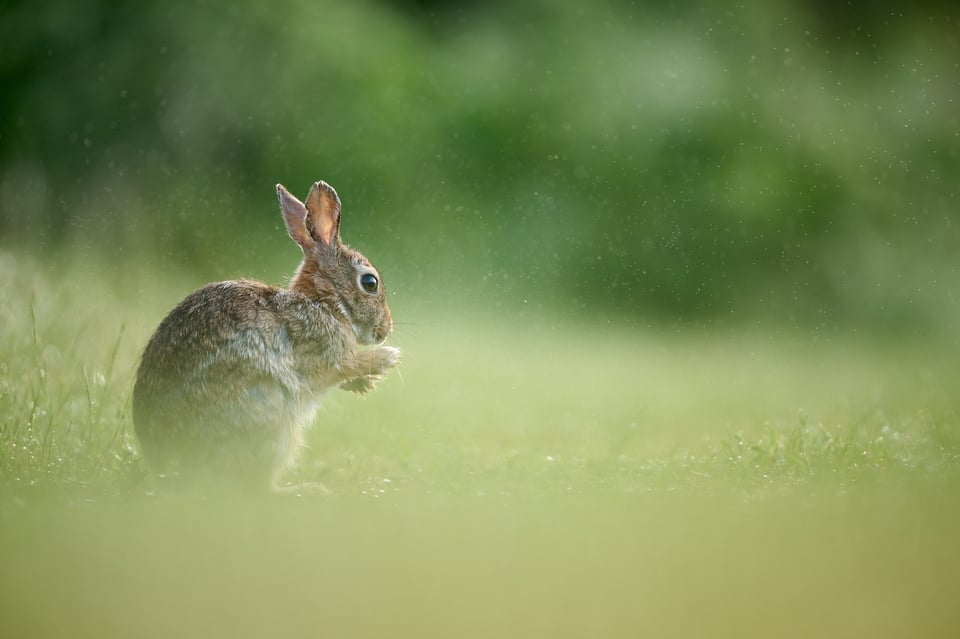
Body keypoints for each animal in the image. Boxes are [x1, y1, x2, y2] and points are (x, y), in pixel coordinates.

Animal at [131, 182, 398, 492]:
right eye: (370, 283)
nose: (386, 330)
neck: (326, 303)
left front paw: (365, 383)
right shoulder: (322, 355)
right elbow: (340, 368)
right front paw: (387, 358)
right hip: (269, 415)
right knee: (257, 487)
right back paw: (305, 490)